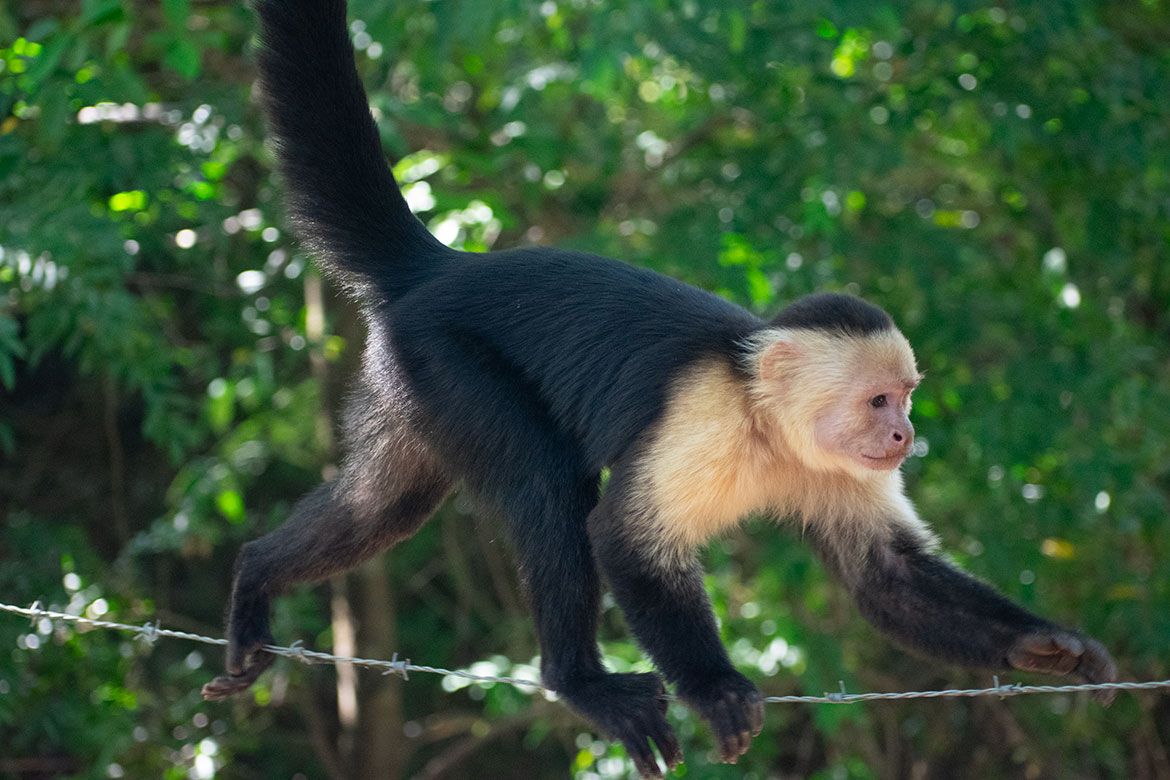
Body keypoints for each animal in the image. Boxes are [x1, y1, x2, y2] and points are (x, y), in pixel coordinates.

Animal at [202, 0, 1119, 776]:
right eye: (877, 401)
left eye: (907, 395)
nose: (905, 437)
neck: (765, 422)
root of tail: (443, 266)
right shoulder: (703, 417)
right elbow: (623, 538)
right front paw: (714, 688)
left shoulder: (835, 466)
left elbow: (886, 577)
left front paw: (1046, 648)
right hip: (446, 358)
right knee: (546, 488)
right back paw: (579, 680)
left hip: (408, 381)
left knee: (384, 506)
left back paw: (255, 579)